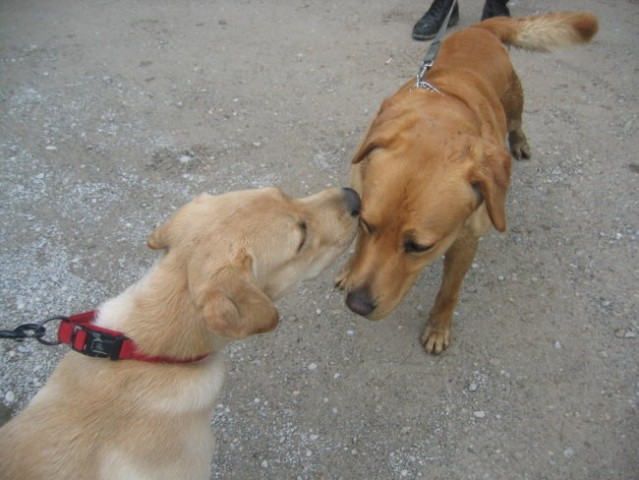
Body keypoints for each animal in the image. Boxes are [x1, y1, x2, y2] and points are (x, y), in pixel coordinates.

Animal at [340, 13, 600, 354]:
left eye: (419, 247)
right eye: (367, 225)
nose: (356, 305)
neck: (441, 116)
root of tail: (483, 28)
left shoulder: (465, 242)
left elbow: (449, 290)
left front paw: (438, 327)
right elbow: (357, 248)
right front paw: (348, 269)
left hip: (514, 100)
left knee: (516, 123)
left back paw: (519, 141)